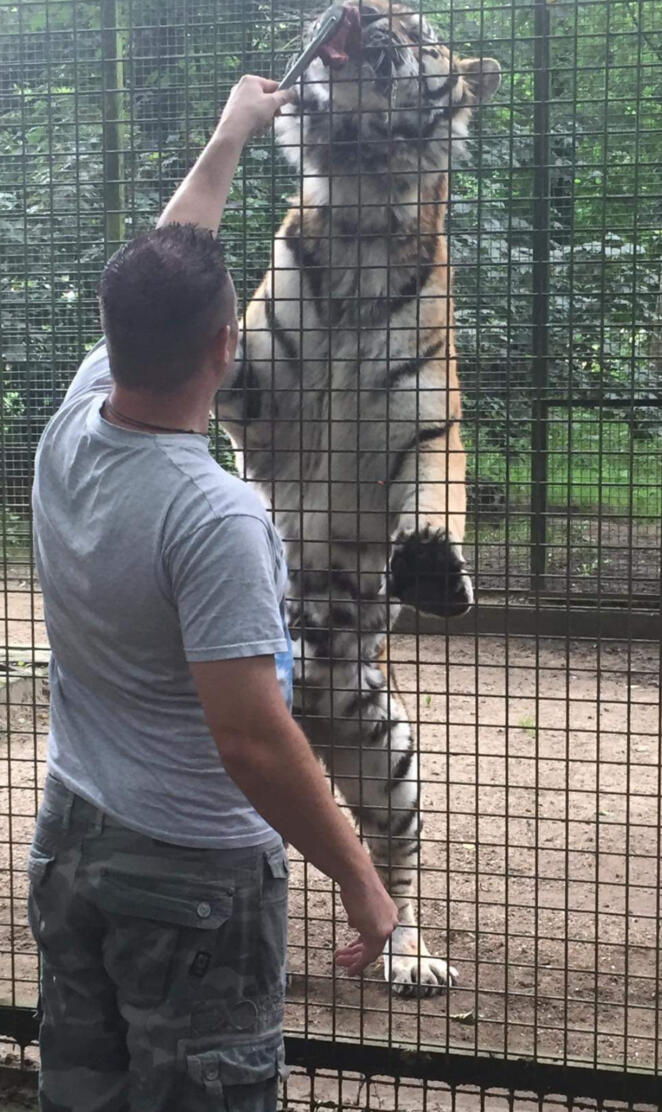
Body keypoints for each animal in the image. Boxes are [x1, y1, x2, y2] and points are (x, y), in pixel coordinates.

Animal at [216, 0, 500, 995]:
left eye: (416, 23)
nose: (362, 10)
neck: (361, 207)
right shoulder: (253, 400)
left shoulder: (427, 425)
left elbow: (439, 488)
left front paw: (434, 568)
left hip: (389, 758)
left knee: (390, 868)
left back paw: (409, 960)